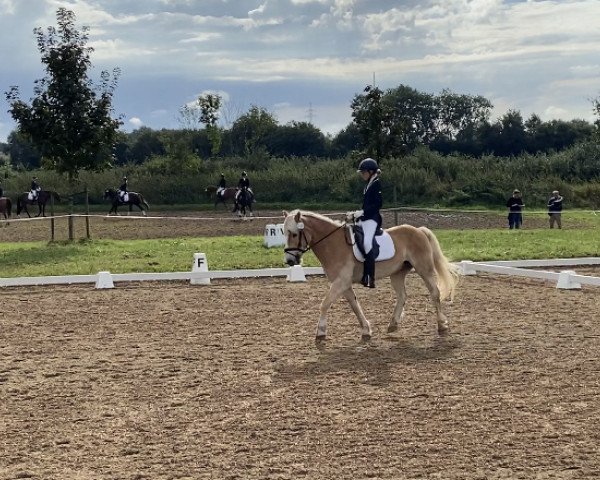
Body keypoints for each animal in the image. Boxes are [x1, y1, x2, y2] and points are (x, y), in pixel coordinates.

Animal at [282, 210, 460, 342]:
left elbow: (324, 304)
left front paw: (320, 332)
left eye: (294, 234)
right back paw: (393, 324)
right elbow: (355, 306)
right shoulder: (344, 284)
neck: (333, 244)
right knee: (402, 295)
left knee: (434, 292)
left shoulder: (340, 282)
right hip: (397, 273)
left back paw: (442, 325)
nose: (289, 261)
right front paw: (366, 330)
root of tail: (419, 230)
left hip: (424, 268)